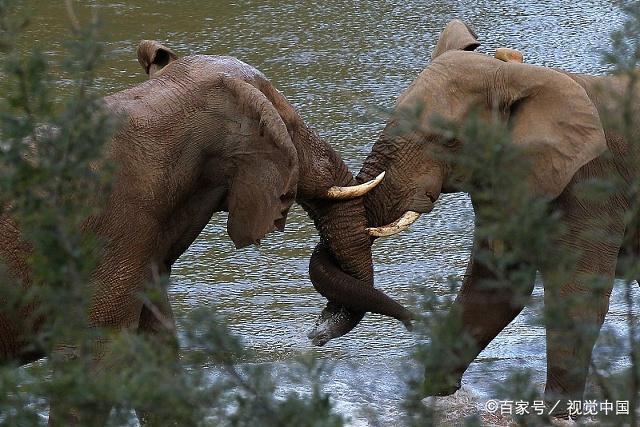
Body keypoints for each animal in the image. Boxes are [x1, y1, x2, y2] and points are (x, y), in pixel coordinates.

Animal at [0, 40, 410, 424]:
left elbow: (159, 358)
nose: (316, 335)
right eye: (291, 131)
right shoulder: (112, 234)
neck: (159, 98)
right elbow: (93, 364)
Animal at [312, 19, 640, 414]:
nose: (315, 335)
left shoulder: (592, 187)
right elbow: (492, 288)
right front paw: (429, 398)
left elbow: (576, 297)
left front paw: (556, 414)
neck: (523, 77)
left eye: (448, 138)